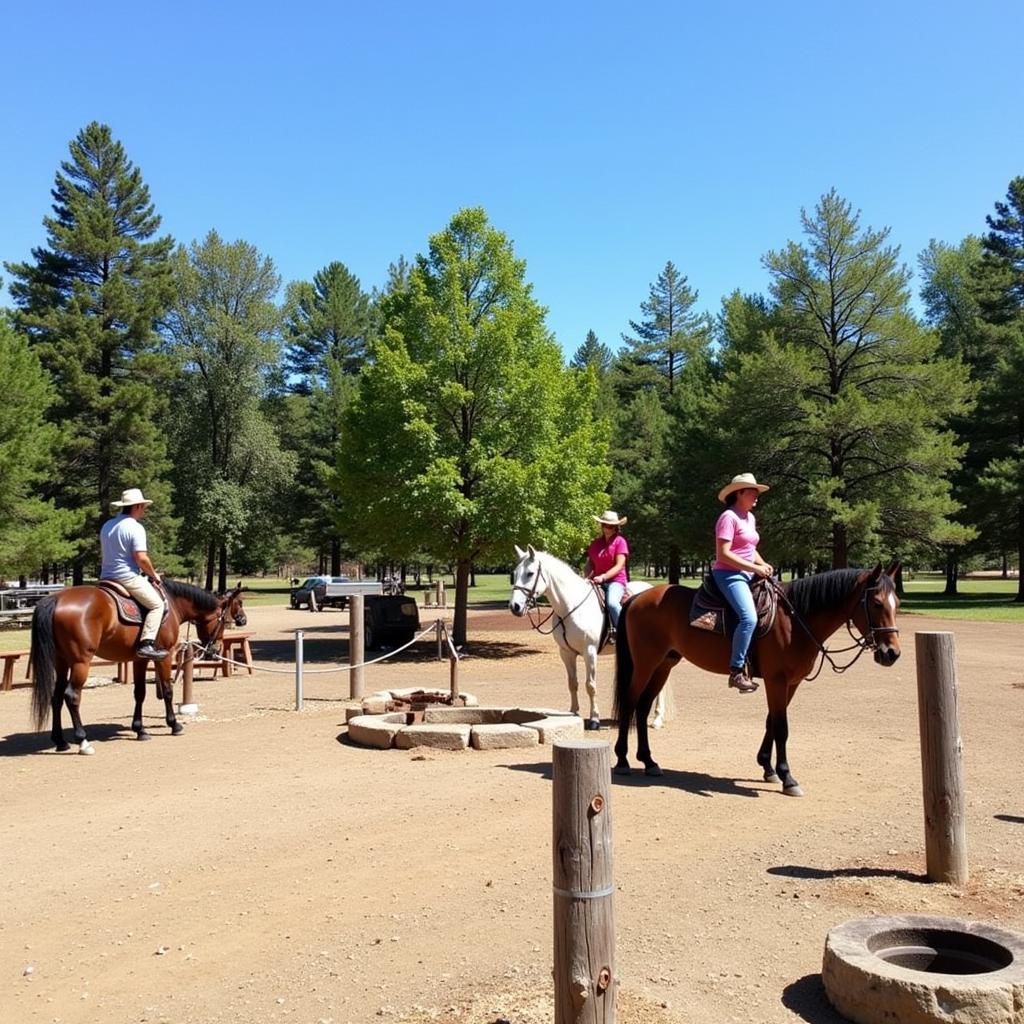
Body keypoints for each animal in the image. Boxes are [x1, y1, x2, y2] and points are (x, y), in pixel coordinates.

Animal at [29, 581, 245, 757]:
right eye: (238, 605)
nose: (243, 620)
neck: (172, 603)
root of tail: (56, 598)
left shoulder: (139, 659)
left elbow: (139, 693)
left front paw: (140, 730)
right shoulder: (165, 655)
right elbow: (167, 690)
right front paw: (174, 724)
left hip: (62, 661)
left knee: (56, 697)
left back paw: (60, 741)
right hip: (80, 662)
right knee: (72, 696)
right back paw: (83, 741)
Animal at [505, 548, 671, 733]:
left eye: (530, 573)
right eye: (514, 574)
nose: (515, 607)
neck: (570, 607)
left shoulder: (589, 652)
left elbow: (590, 686)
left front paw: (594, 719)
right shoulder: (566, 653)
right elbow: (572, 683)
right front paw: (573, 712)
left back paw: (657, 719)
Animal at [610, 565, 901, 794]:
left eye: (896, 602)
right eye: (876, 603)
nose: (892, 653)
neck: (795, 620)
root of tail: (637, 598)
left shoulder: (790, 683)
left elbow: (771, 721)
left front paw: (767, 767)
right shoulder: (777, 680)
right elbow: (782, 727)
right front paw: (787, 776)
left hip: (664, 665)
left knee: (643, 707)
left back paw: (649, 761)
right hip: (645, 664)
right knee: (630, 703)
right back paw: (623, 760)